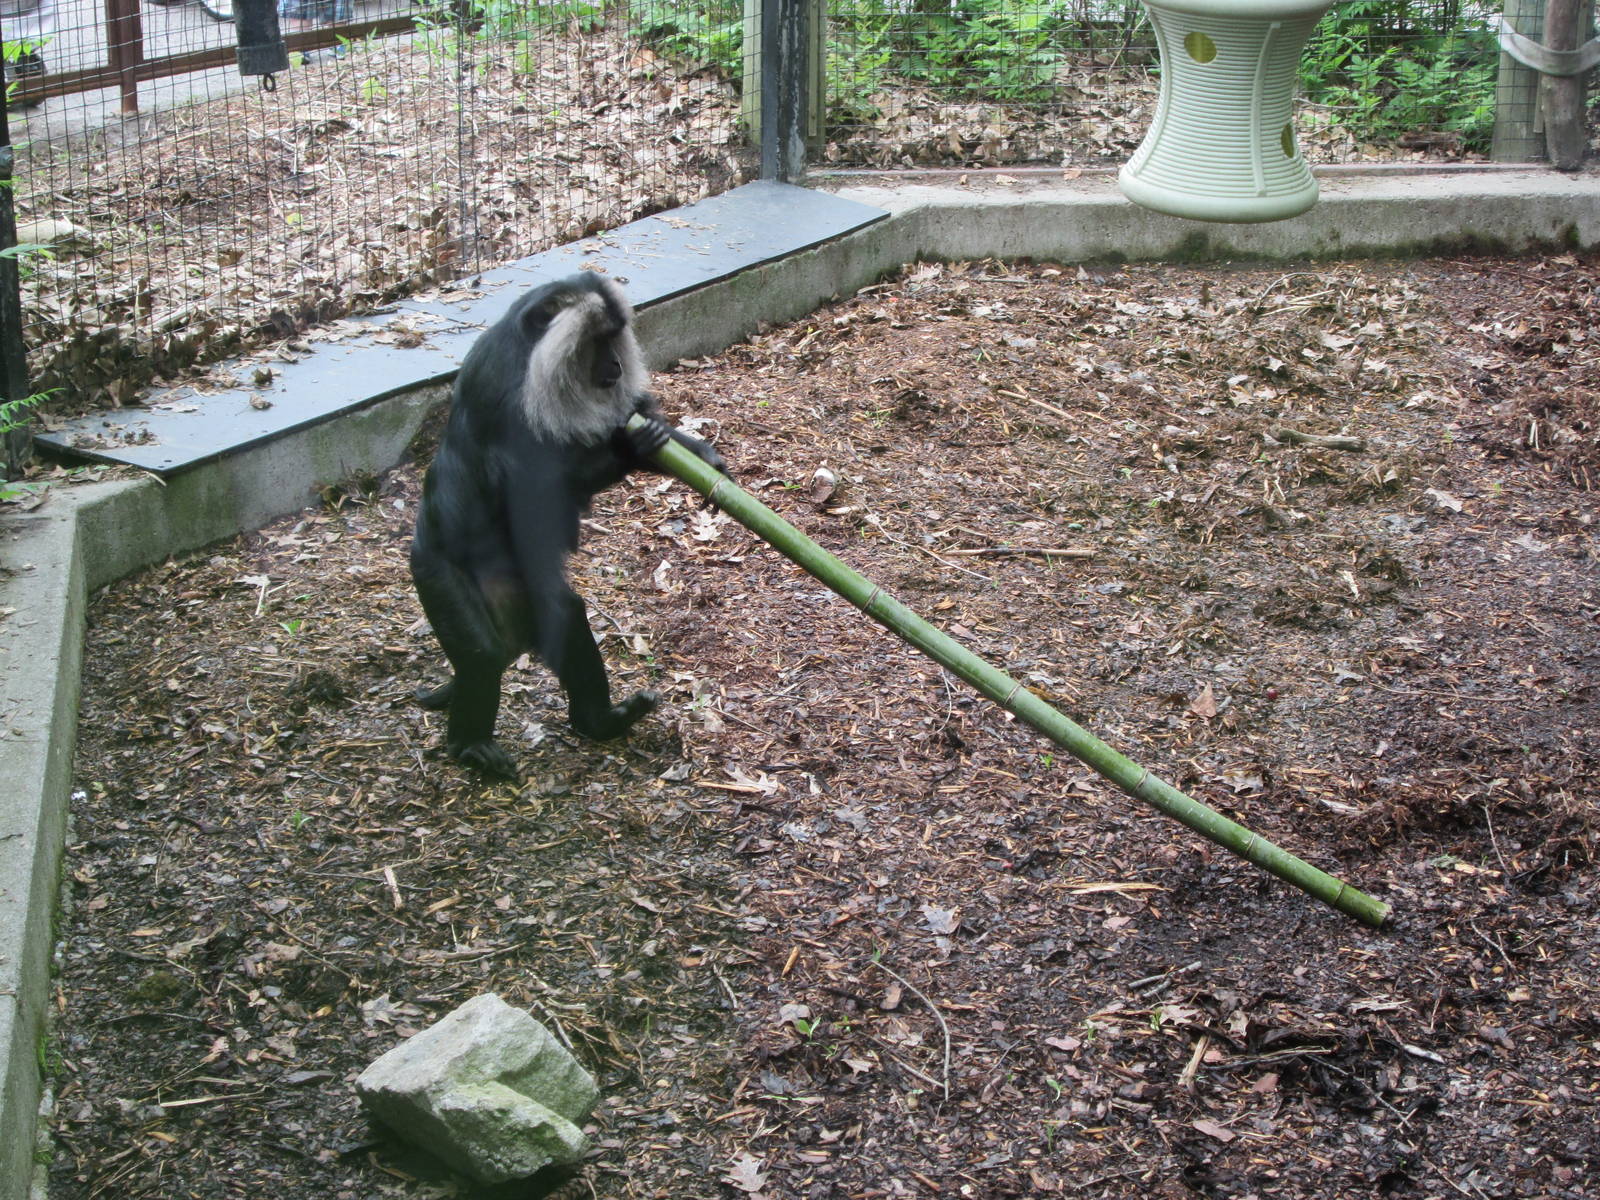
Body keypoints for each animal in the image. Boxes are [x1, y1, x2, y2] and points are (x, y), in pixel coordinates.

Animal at [409, 272, 726, 779]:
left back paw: (597, 721)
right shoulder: (509, 399)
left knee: (564, 615)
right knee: (482, 657)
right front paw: (632, 448)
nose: (615, 363)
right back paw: (468, 744)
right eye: (597, 341)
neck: (530, 359)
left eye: (614, 339)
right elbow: (541, 492)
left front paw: (696, 453)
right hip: (436, 572)